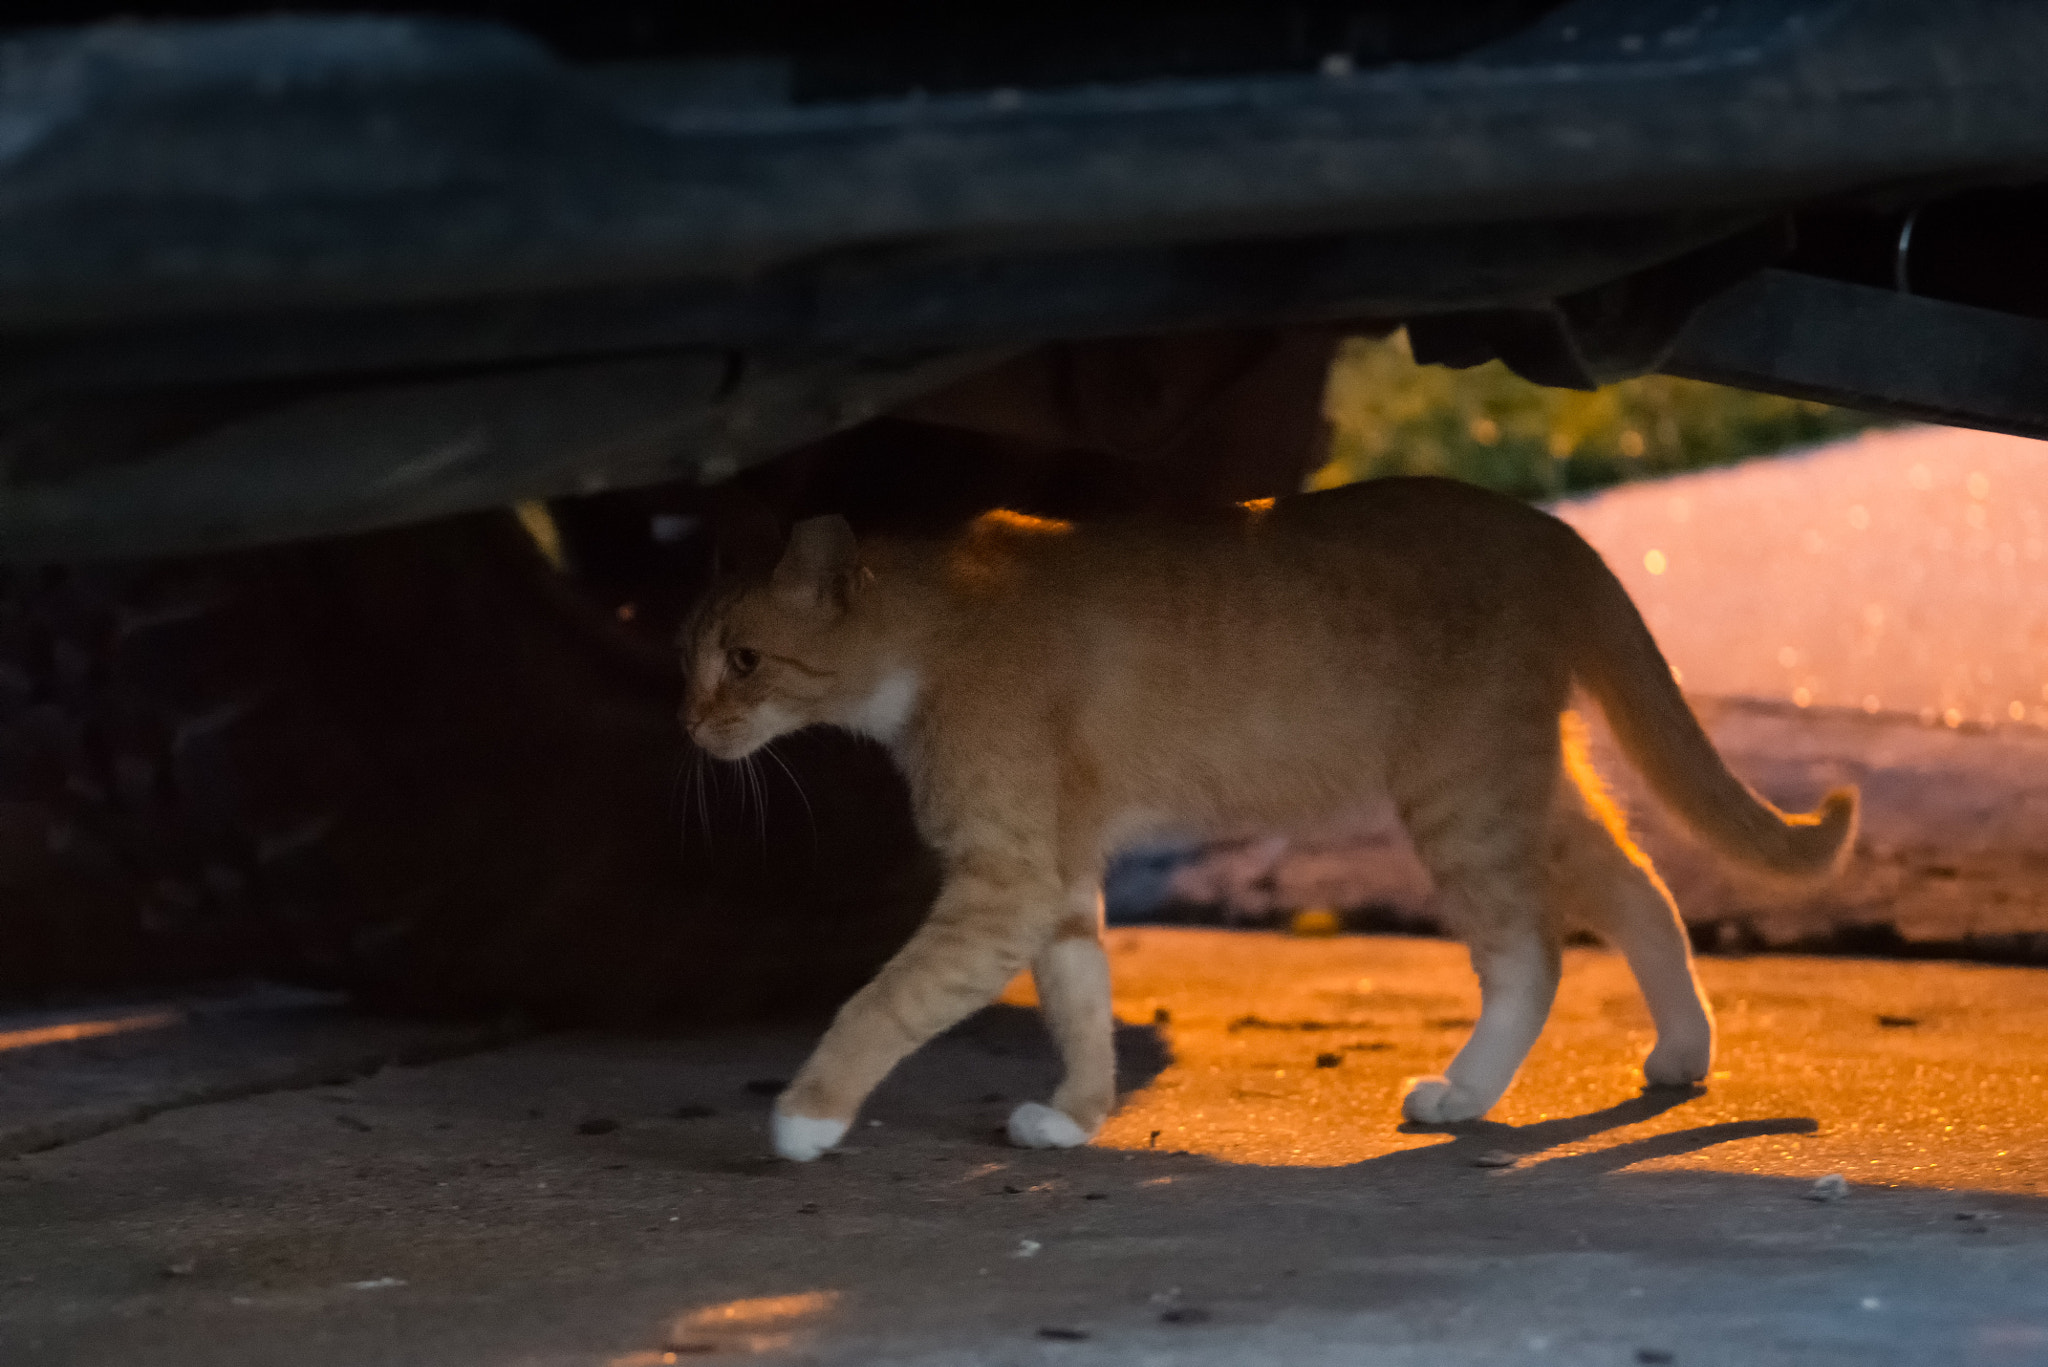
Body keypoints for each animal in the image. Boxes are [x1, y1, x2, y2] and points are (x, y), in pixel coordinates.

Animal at [679, 475, 1851, 1164]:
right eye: (688, 653)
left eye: (743, 658)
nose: (688, 723)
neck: (936, 629)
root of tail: (1551, 527)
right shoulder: (1052, 877)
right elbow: (1079, 996)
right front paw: (1078, 1114)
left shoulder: (1001, 882)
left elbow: (881, 1000)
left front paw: (808, 1113)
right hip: (1531, 781)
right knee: (1639, 888)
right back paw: (1681, 1049)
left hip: (1461, 794)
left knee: (1531, 950)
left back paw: (1465, 1092)